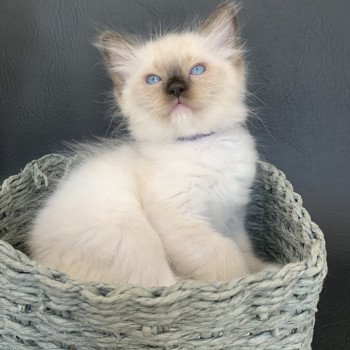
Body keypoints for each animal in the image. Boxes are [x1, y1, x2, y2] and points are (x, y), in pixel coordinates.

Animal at [30, 2, 270, 288]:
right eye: (154, 80)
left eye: (197, 70)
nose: (176, 89)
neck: (199, 145)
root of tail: (38, 257)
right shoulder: (184, 222)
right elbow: (226, 260)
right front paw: (246, 281)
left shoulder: (233, 218)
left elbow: (246, 253)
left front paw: (267, 269)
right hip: (134, 232)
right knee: (163, 281)